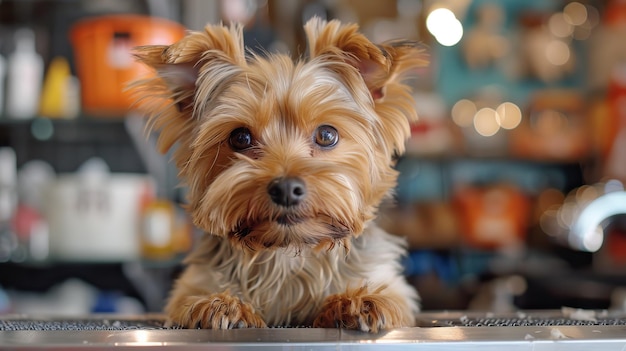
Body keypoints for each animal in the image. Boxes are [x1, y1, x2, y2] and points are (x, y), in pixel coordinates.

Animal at [131, 16, 424, 334]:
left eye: (326, 135)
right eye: (240, 138)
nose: (285, 189)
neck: (288, 253)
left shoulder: (390, 284)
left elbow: (389, 298)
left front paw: (359, 301)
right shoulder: (192, 285)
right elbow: (194, 299)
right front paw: (221, 305)